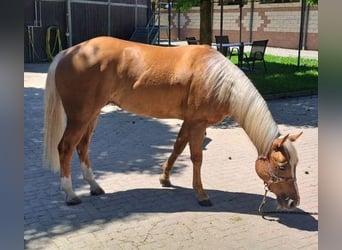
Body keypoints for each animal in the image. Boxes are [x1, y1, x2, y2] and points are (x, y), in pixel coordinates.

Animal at [43, 36, 302, 208]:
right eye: (282, 166)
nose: (292, 202)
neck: (218, 79)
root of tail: (69, 52)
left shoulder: (190, 121)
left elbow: (177, 148)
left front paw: (165, 178)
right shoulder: (198, 123)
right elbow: (196, 157)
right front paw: (202, 195)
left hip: (92, 114)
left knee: (82, 147)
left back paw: (94, 186)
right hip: (81, 116)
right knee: (65, 148)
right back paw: (70, 194)